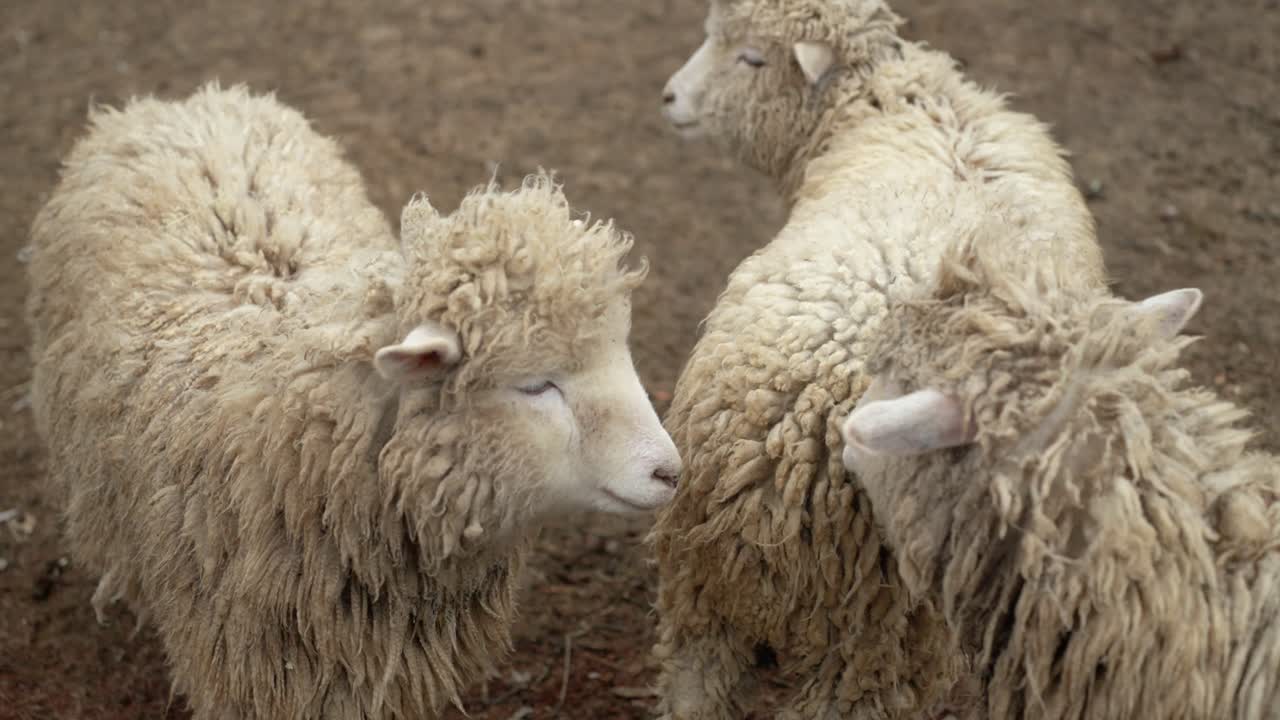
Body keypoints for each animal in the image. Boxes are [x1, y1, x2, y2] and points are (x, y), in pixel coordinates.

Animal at [649, 0, 1108, 717]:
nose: (669, 98)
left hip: (718, 593)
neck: (884, 102)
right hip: (868, 631)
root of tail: (787, 457)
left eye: (753, 57)